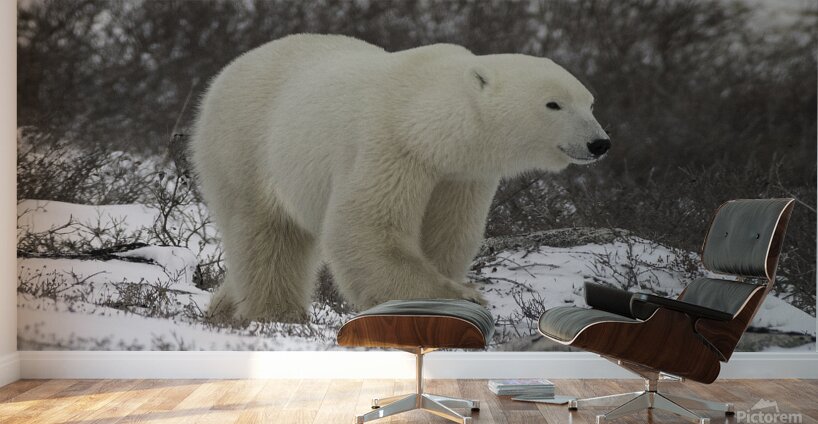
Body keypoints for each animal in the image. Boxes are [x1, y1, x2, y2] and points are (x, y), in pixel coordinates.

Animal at [190, 34, 610, 323]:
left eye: (589, 102)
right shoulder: (390, 146)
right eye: (553, 104)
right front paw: (463, 296)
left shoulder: (461, 176)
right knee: (265, 233)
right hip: (246, 143)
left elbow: (447, 236)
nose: (599, 143)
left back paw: (222, 309)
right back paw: (277, 313)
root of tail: (225, 72)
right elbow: (366, 229)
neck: (426, 120)